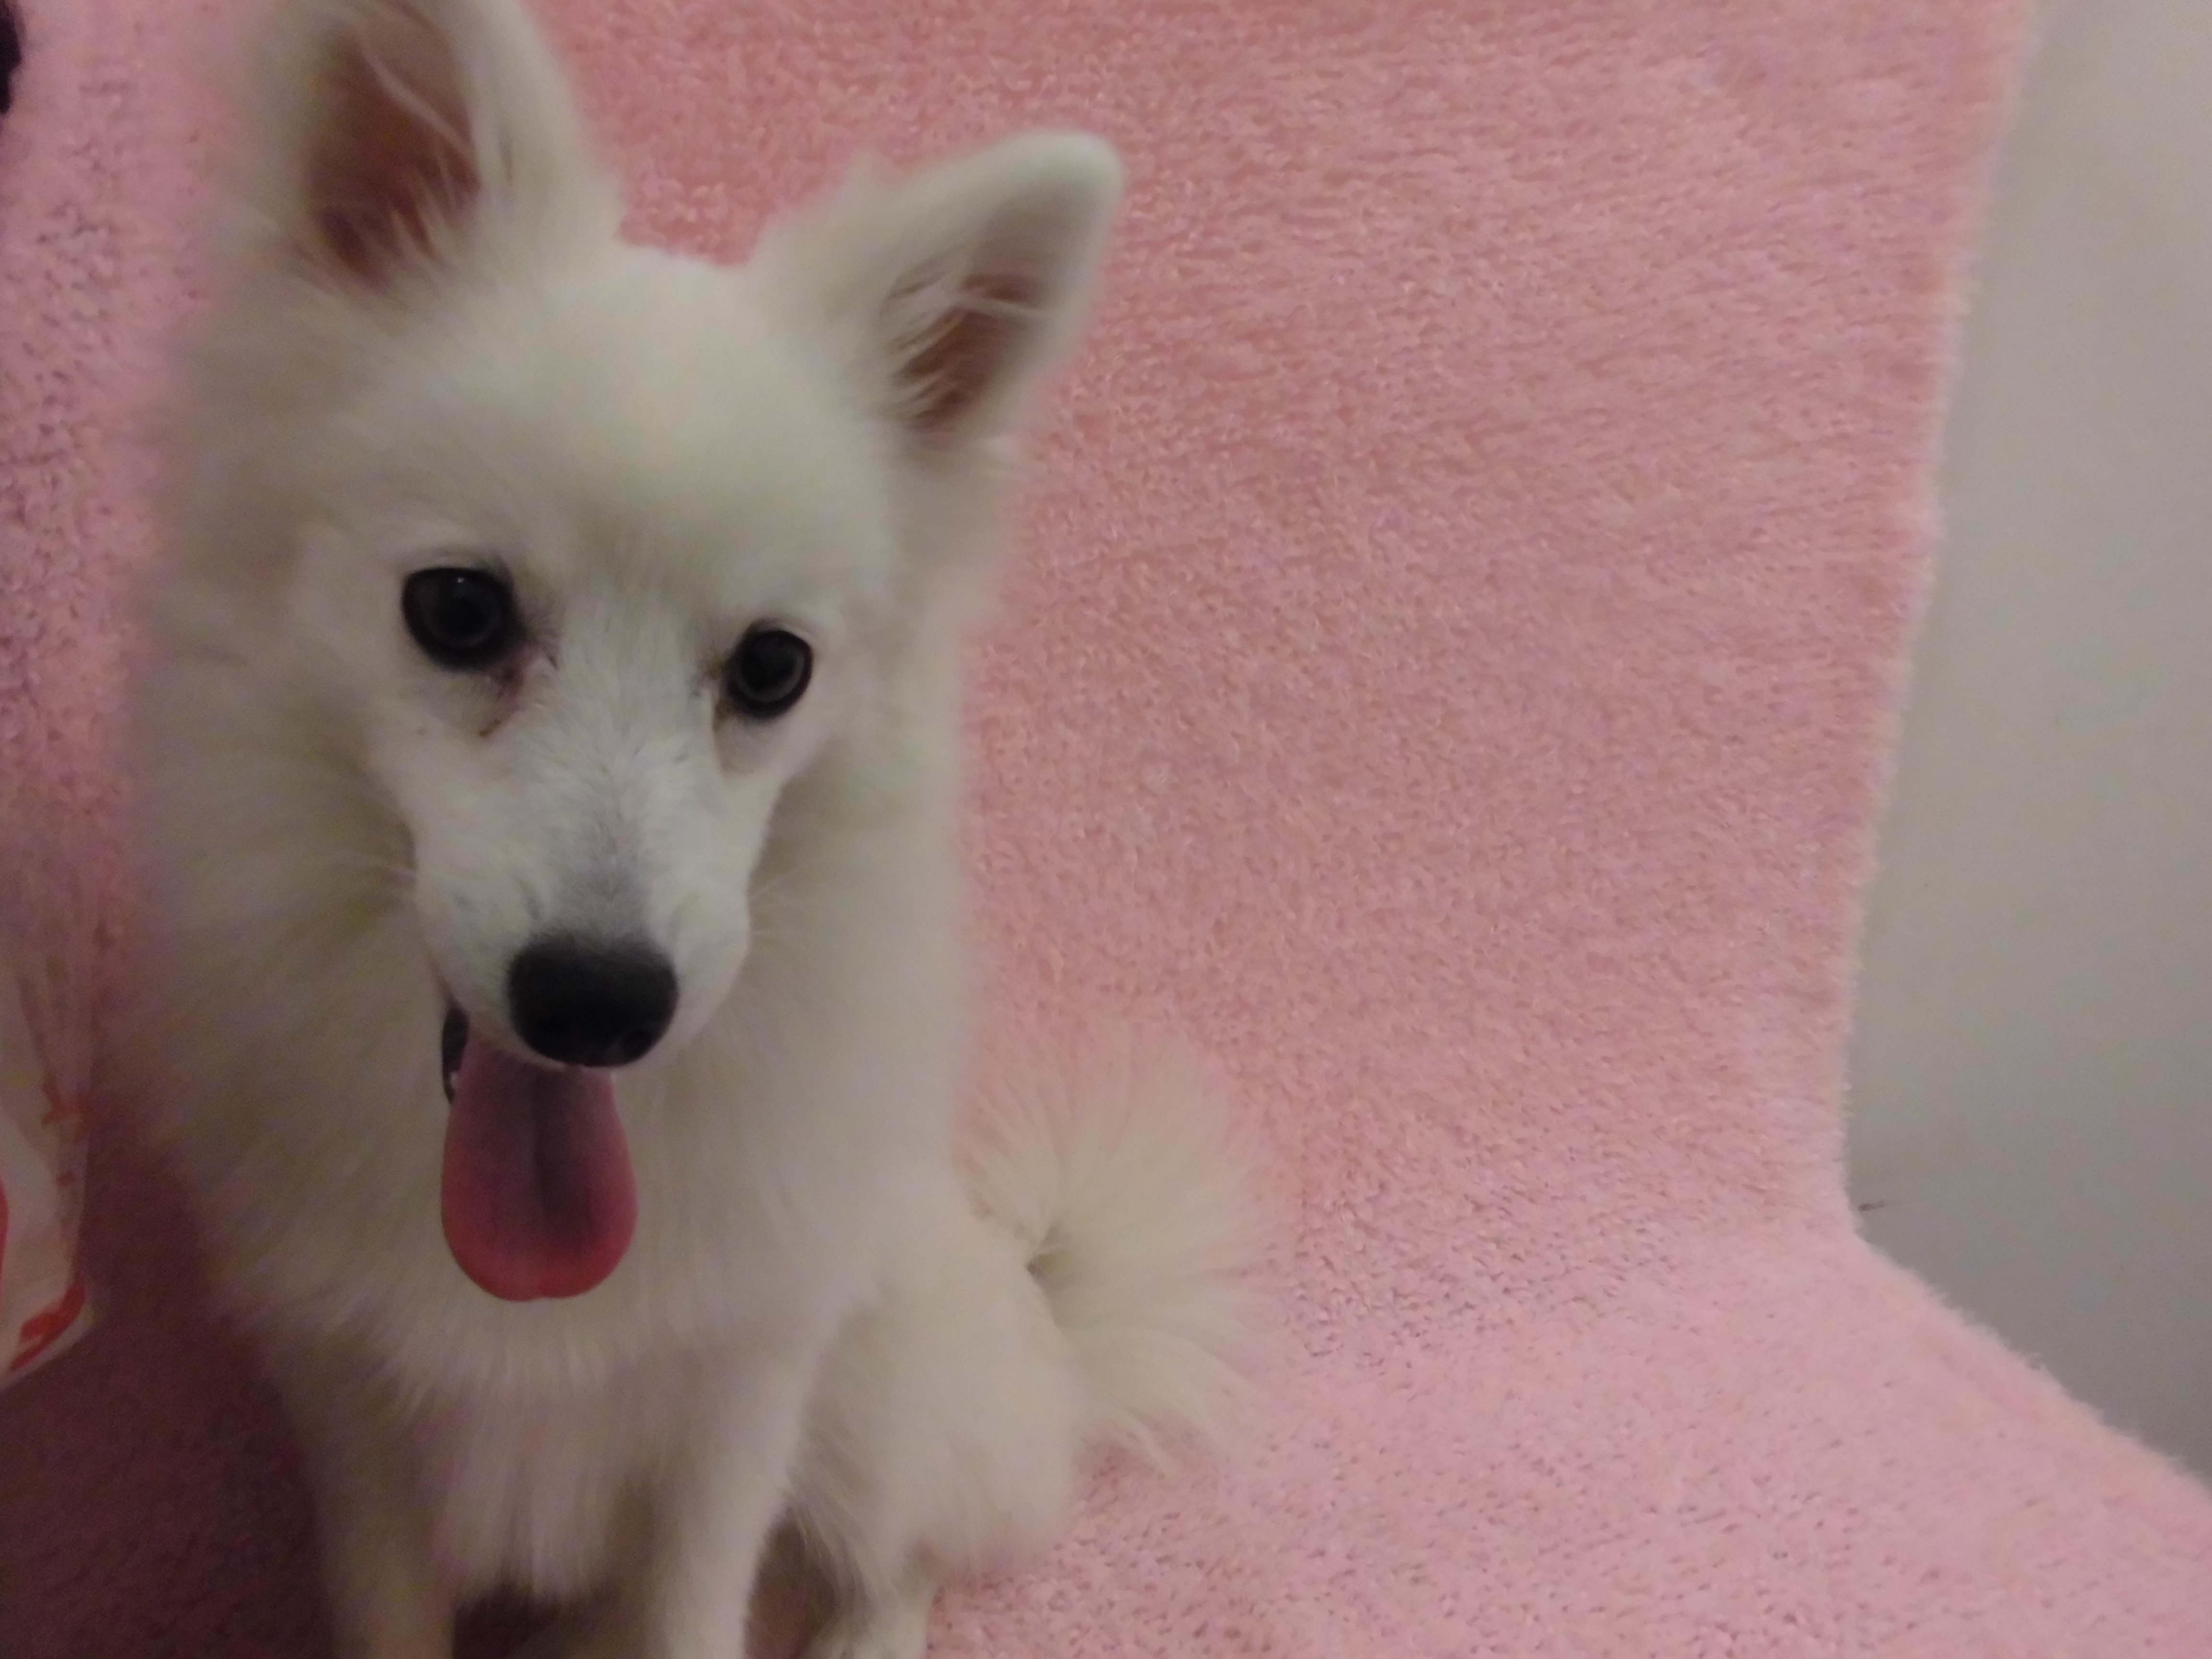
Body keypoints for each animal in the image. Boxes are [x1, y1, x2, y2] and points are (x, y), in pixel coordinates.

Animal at [118, 1, 1257, 1654]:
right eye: (456, 611)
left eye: (773, 668)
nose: (601, 1001)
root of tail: (1039, 1308)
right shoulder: (350, 1413)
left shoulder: (739, 1402)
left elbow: (692, 1608)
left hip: (882, 1397)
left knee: (903, 1555)